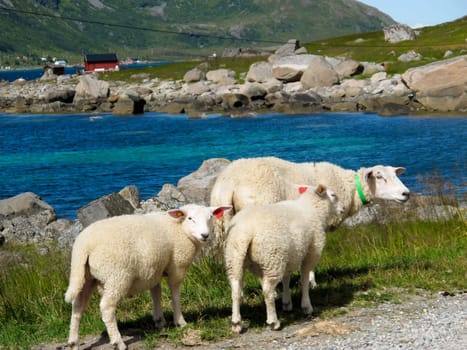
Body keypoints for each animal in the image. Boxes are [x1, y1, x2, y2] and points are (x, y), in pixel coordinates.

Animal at [65, 202, 233, 350]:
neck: (179, 228)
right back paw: (118, 342)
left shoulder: (154, 269)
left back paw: (73, 342)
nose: (205, 235)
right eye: (190, 218)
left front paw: (159, 321)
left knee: (78, 306)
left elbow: (156, 293)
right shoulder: (177, 267)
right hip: (117, 276)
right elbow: (175, 294)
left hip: (85, 276)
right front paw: (180, 321)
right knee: (107, 307)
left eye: (210, 217)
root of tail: (84, 246)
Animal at [225, 182, 346, 332]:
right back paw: (273, 321)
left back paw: (236, 323)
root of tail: (246, 230)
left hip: (236, 258)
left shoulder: (289, 256)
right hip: (272, 257)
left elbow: (286, 279)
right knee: (267, 291)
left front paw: (287, 303)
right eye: (333, 195)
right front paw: (306, 306)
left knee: (236, 289)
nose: (343, 208)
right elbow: (304, 279)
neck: (313, 209)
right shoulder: (311, 253)